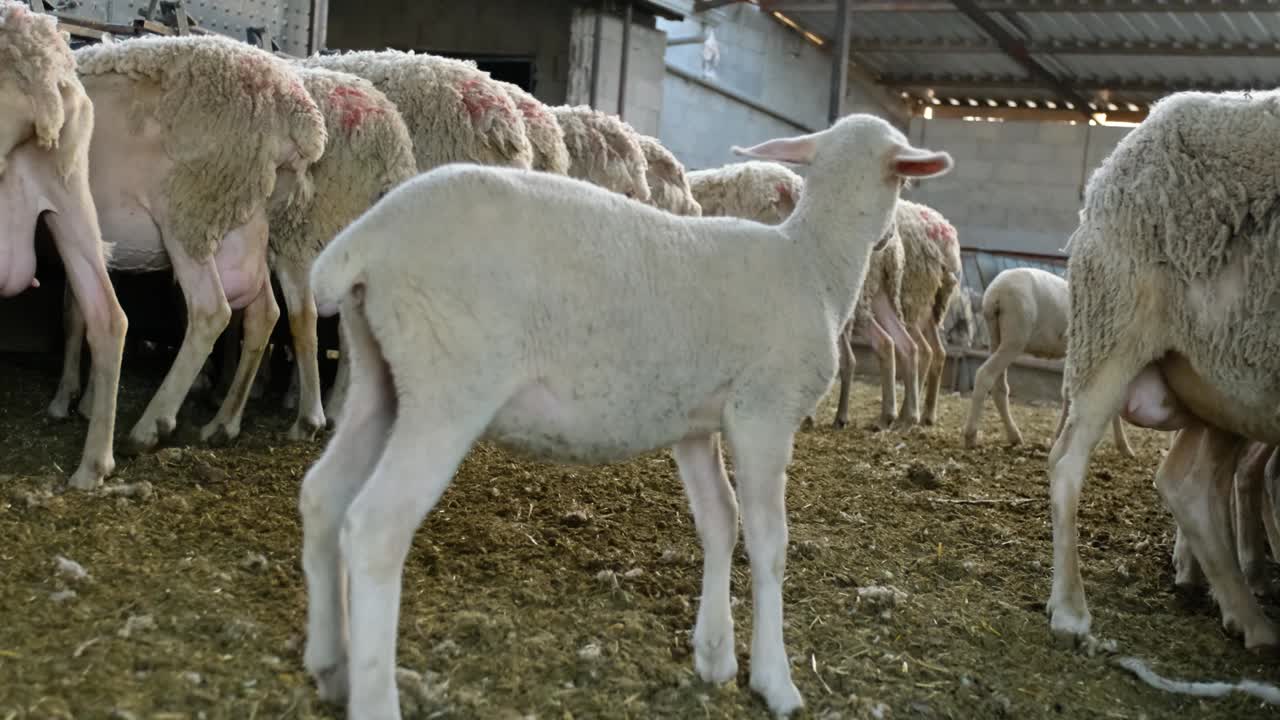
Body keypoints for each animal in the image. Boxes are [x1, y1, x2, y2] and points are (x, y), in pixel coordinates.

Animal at [50, 34, 326, 454]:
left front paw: (67, 398)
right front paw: (84, 398)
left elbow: (73, 313)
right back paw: (239, 423)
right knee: (278, 312)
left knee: (212, 311)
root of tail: (297, 114)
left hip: (190, 214)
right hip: (253, 225)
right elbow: (82, 310)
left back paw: (152, 426)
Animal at [296, 114, 953, 719]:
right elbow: (769, 542)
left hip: (380, 378)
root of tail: (361, 244)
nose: (891, 240)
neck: (814, 263)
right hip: (448, 385)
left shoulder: (695, 426)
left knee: (323, 496)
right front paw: (775, 681)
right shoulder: (763, 413)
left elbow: (720, 521)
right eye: (902, 177)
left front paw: (714, 655)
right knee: (375, 527)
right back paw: (373, 696)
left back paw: (331, 666)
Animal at [962, 267, 1133, 455]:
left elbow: (1068, 391)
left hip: (995, 336)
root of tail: (995, 293)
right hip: (1015, 337)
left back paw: (1014, 436)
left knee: (999, 386)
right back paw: (971, 436)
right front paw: (1124, 446)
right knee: (985, 375)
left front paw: (1059, 438)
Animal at [1046, 89, 1280, 651]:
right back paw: (1070, 611)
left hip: (1223, 382)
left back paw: (1250, 619)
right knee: (1066, 462)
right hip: (1114, 331)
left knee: (1188, 485)